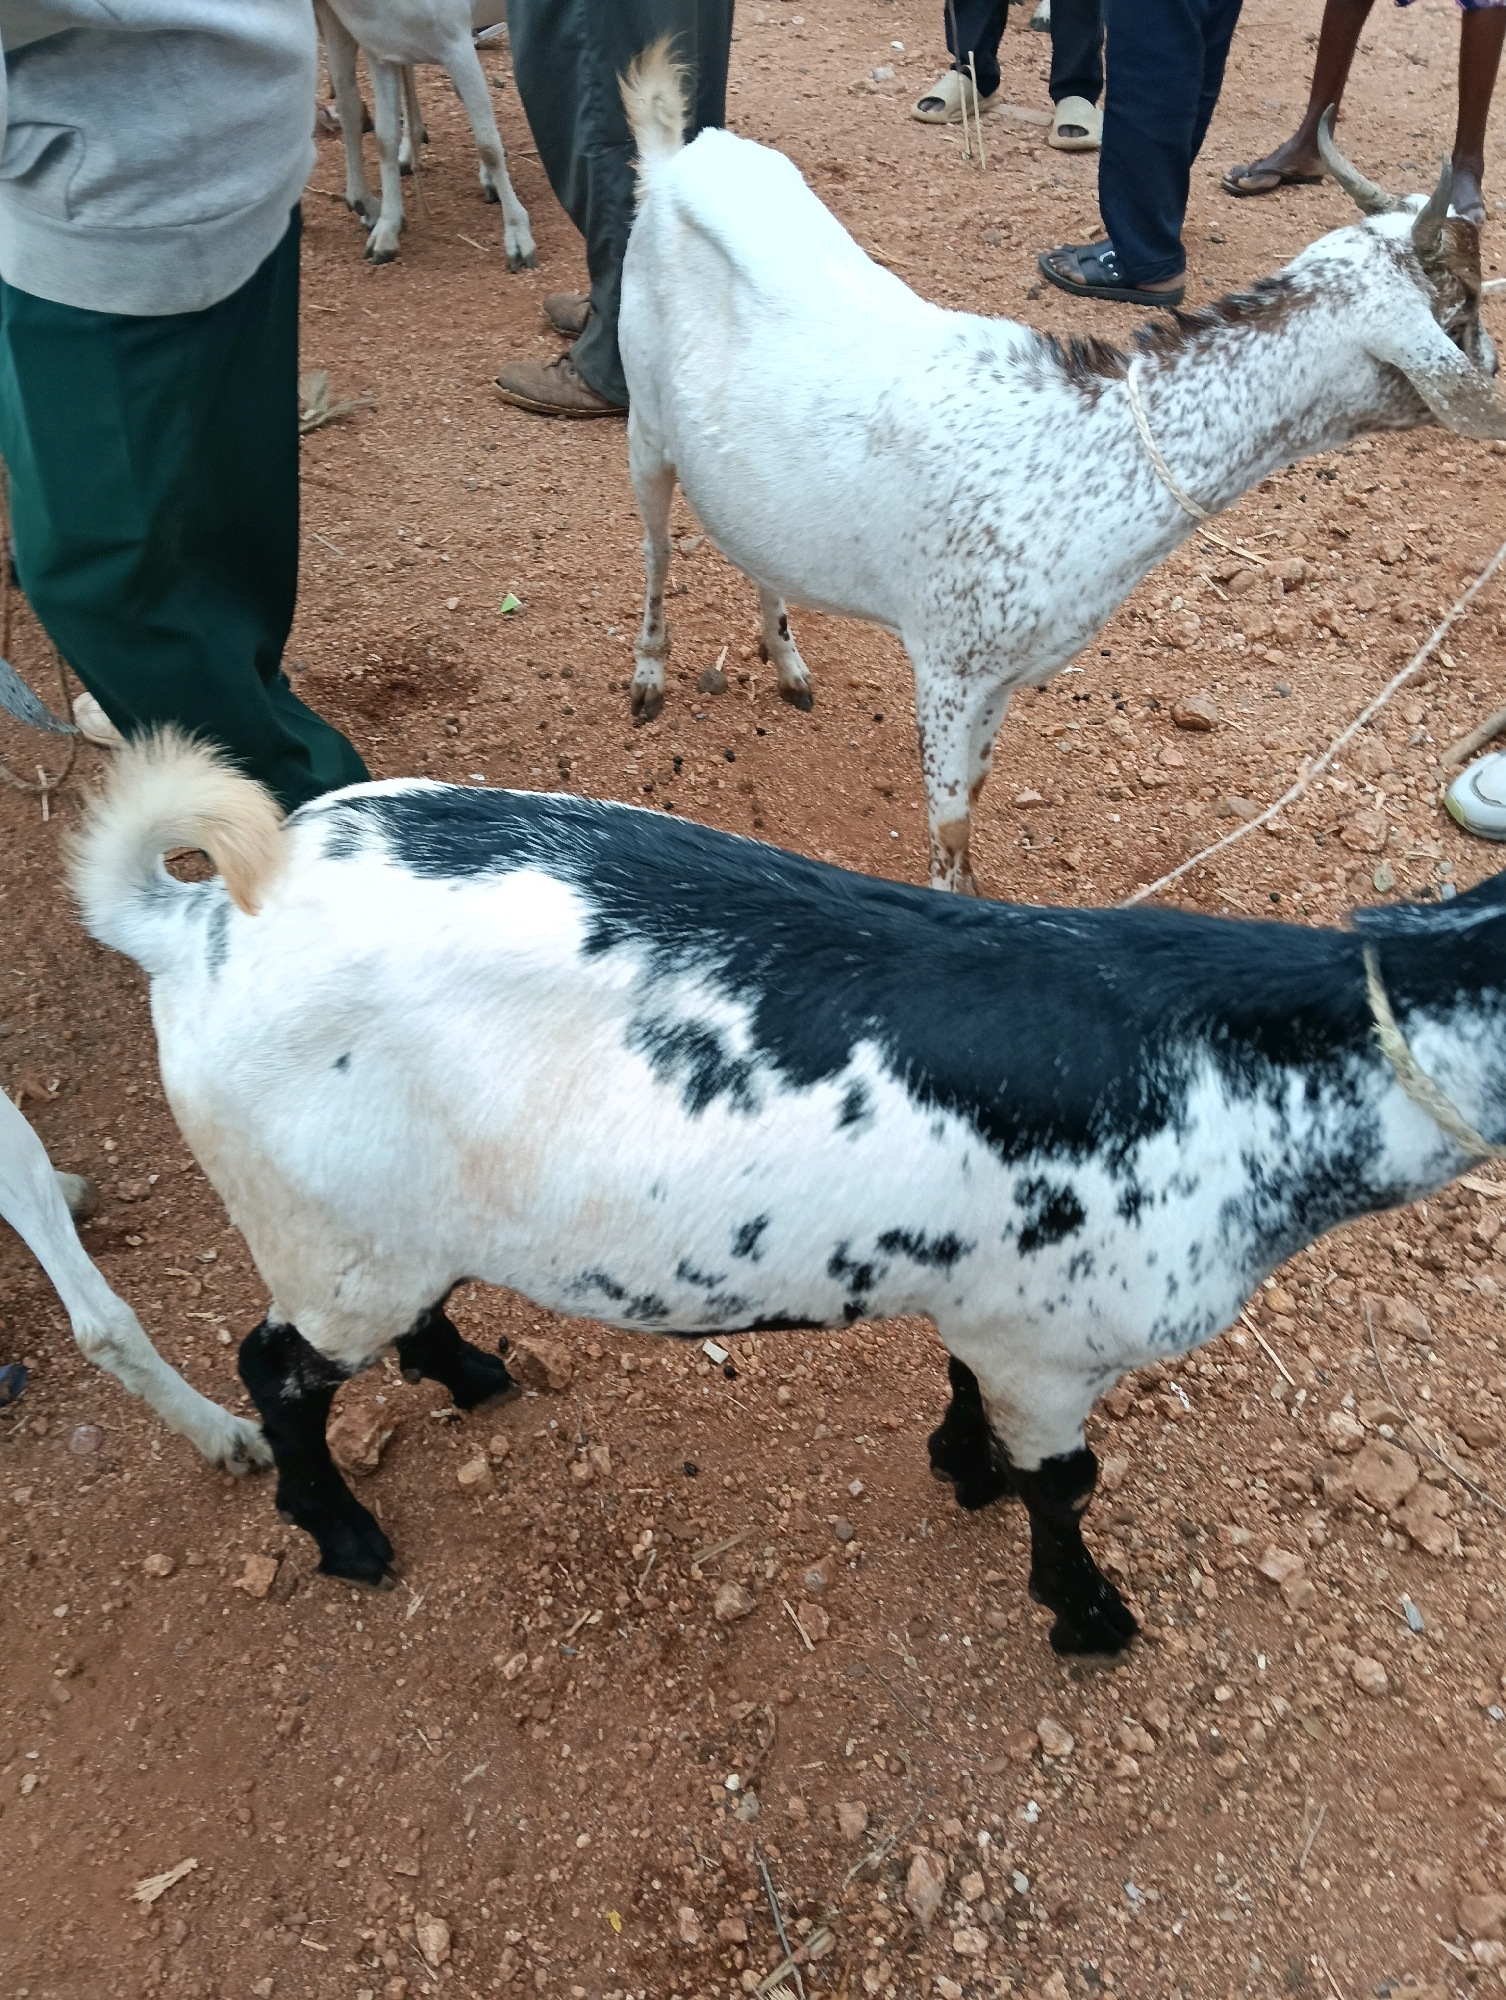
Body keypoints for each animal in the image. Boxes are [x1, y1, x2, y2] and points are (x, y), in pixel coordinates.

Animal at [71, 731, 1506, 1652]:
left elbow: (964, 1386)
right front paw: (1085, 1613)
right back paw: (342, 1530)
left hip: (384, 1223)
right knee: (276, 1371)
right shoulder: (1058, 1343)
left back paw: (469, 1371)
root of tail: (188, 928)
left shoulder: (991, 1308)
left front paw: (961, 1468)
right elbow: (1068, 1484)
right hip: (323, 1234)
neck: (1241, 1059)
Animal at [314, 0, 535, 269]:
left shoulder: (457, 42)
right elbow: (384, 141)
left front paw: (518, 241)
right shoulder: (381, 53)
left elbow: (488, 146)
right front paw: (385, 234)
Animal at [618, 50, 1506, 890]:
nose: (1495, 367)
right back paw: (650, 675)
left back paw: (786, 661)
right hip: (647, 432)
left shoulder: (1004, 677)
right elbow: (949, 829)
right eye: (1461, 308)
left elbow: (977, 798)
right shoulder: (947, 664)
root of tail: (669, 163)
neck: (1084, 459)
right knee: (658, 551)